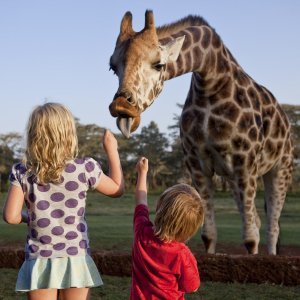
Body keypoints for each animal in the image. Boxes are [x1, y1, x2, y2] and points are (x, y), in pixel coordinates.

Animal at [108, 10, 292, 254]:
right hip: (233, 178)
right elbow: (208, 234)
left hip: (280, 169)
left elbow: (251, 239)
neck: (211, 82)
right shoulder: (197, 164)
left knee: (272, 225)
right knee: (260, 220)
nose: (121, 108)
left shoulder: (244, 164)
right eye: (112, 66)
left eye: (159, 64)